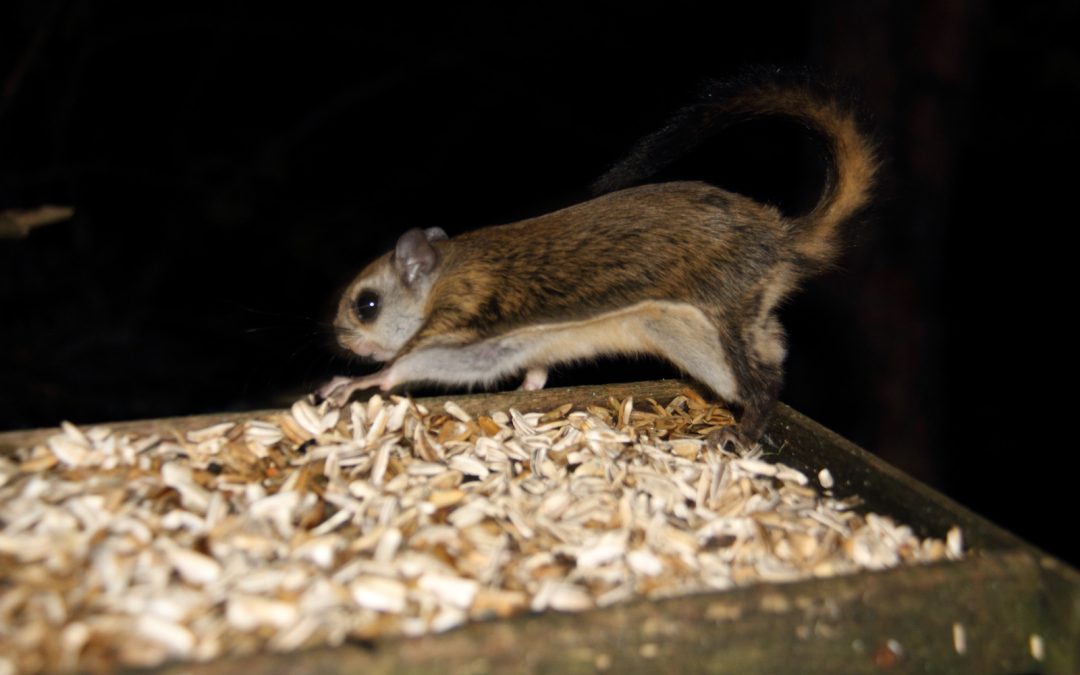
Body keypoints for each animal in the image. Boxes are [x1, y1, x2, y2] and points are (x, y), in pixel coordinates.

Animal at [317, 70, 878, 443]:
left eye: (366, 306)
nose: (341, 339)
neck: (444, 271)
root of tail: (781, 237)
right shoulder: (521, 344)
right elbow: (533, 370)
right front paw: (529, 391)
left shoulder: (465, 319)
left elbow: (420, 362)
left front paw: (360, 382)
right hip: (697, 337)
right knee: (775, 359)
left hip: (726, 316)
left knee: (766, 382)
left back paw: (741, 434)